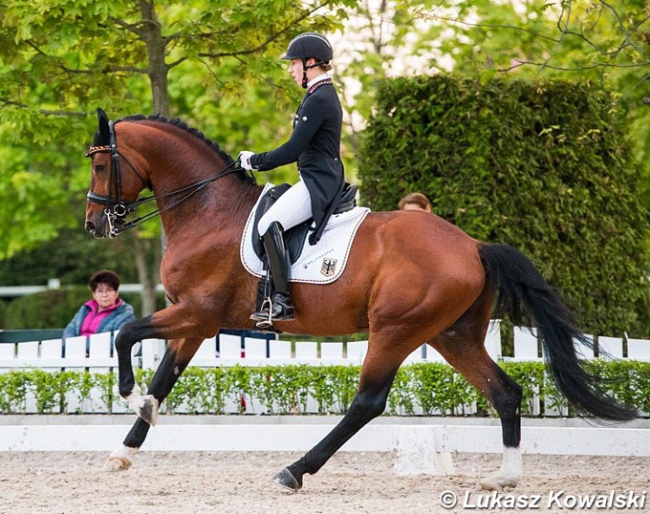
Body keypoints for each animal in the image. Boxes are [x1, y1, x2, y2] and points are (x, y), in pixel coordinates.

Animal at [82, 108, 632, 488]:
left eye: (102, 164)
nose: (92, 224)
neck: (206, 209)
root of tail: (472, 245)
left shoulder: (196, 313)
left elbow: (125, 335)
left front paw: (132, 398)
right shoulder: (194, 322)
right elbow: (163, 375)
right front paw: (127, 446)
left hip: (394, 329)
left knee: (367, 402)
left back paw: (295, 471)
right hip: (452, 335)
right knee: (505, 392)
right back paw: (505, 477)